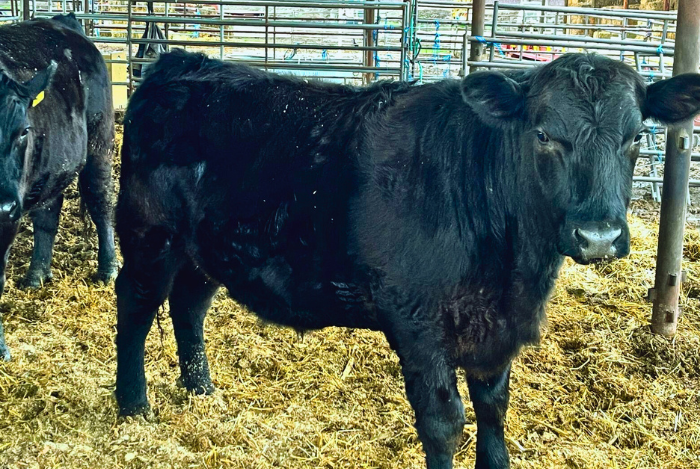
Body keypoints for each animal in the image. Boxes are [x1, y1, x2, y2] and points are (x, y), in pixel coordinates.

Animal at [0, 14, 118, 361]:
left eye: (23, 130)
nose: (4, 205)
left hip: (99, 142)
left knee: (101, 201)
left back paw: (108, 269)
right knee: (48, 214)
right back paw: (37, 274)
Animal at [115, 49, 700, 468]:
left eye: (637, 137)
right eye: (543, 134)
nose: (598, 235)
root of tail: (182, 63)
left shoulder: (495, 329)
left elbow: (493, 409)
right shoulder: (418, 324)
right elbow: (444, 421)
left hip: (209, 248)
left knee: (188, 305)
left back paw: (201, 391)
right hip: (149, 235)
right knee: (136, 306)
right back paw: (134, 404)